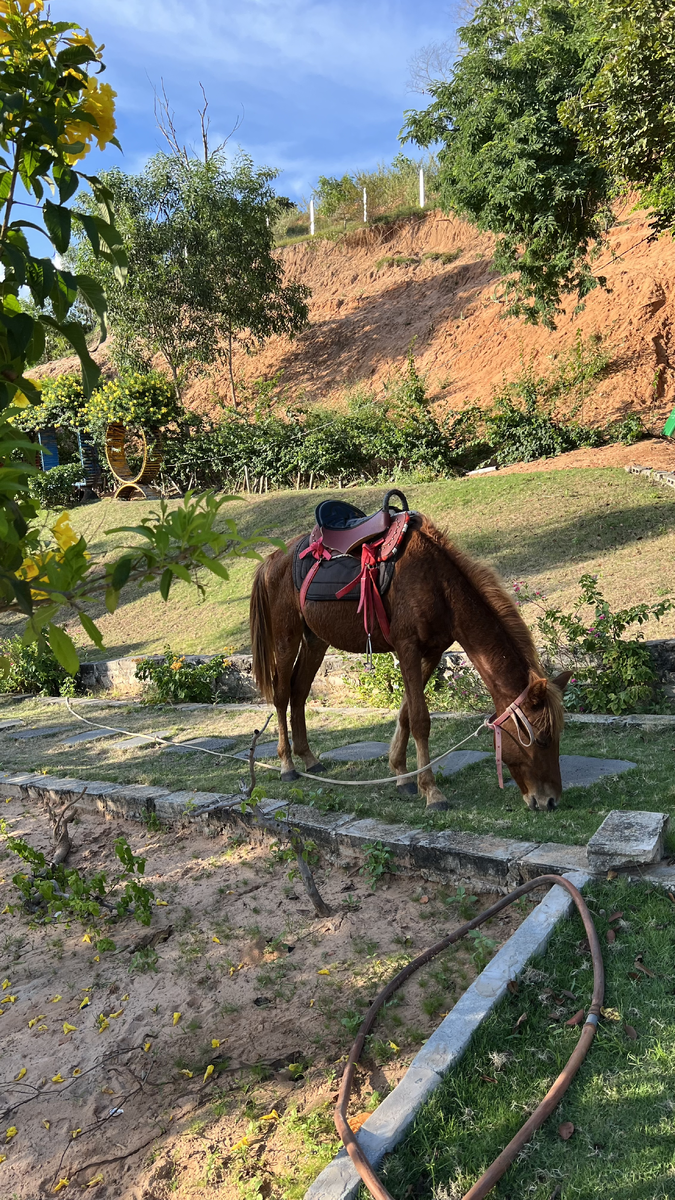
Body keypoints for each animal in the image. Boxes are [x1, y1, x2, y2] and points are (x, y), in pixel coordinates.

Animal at [249, 511, 569, 811]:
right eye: (541, 739)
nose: (551, 801)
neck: (439, 585)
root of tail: (273, 559)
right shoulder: (408, 648)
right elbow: (420, 720)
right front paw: (432, 792)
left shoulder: (431, 651)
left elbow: (405, 713)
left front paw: (401, 776)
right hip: (286, 637)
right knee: (281, 695)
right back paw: (287, 765)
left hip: (315, 640)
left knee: (299, 692)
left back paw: (309, 759)